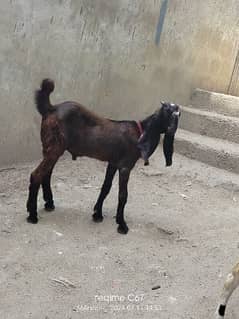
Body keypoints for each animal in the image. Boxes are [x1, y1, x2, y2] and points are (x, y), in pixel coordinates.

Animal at [26, 79, 179, 235]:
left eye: (178, 113)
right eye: (167, 112)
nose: (172, 130)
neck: (140, 132)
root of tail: (51, 108)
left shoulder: (113, 163)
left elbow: (106, 187)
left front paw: (97, 214)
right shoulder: (125, 166)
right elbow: (123, 195)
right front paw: (122, 224)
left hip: (50, 147)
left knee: (46, 174)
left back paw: (49, 204)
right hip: (55, 147)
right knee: (36, 175)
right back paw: (32, 215)